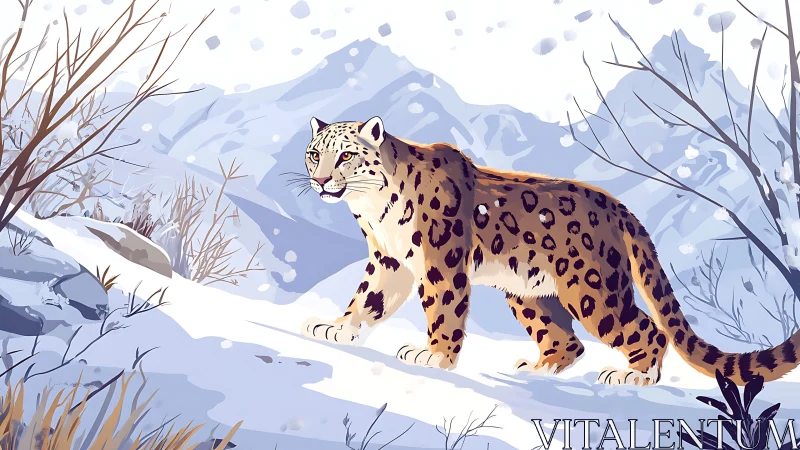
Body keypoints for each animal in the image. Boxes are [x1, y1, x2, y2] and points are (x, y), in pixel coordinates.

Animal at [298, 115, 800, 386]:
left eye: (345, 155)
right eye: (314, 153)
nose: (319, 180)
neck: (374, 211)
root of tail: (617, 206)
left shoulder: (441, 262)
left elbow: (442, 309)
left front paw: (434, 355)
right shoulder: (390, 261)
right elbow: (368, 298)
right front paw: (335, 328)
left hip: (593, 291)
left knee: (642, 329)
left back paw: (633, 375)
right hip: (529, 293)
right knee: (567, 339)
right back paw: (537, 367)